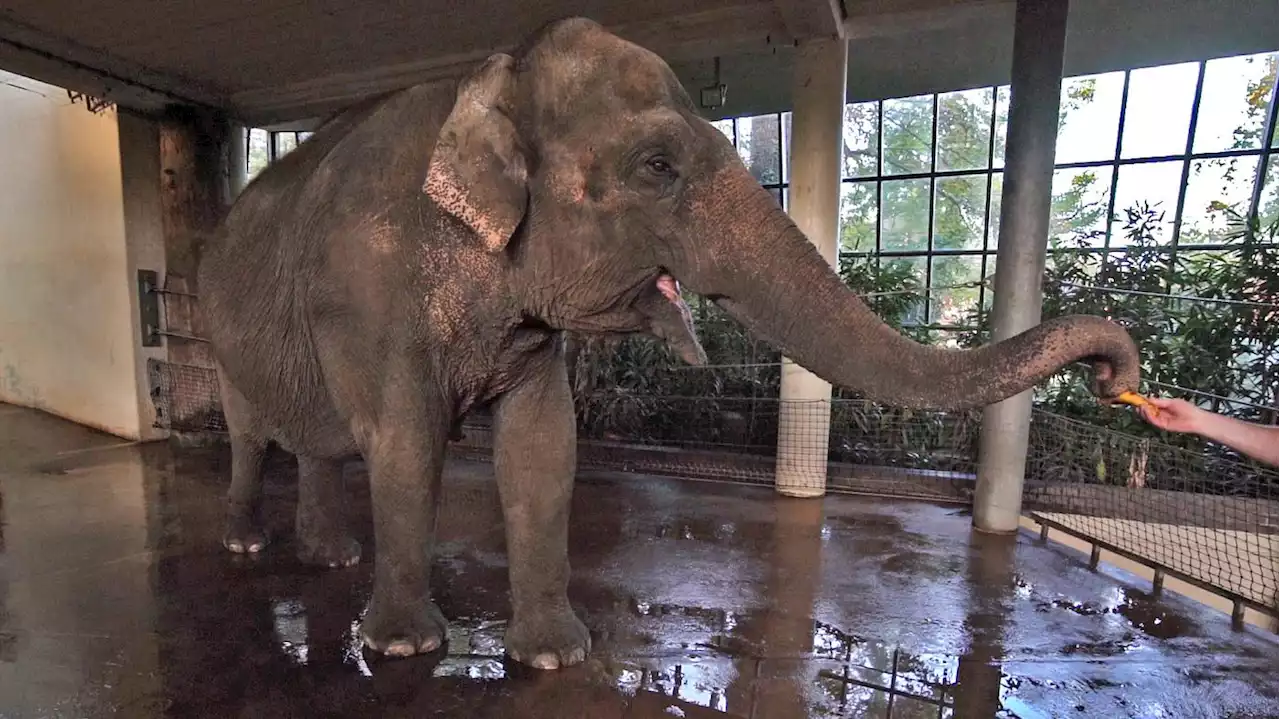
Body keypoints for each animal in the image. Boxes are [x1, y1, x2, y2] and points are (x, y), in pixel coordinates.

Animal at [197, 15, 1141, 665]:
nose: (1114, 374)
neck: (489, 79)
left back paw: (328, 557)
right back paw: (249, 545)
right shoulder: (370, 289)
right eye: (658, 166)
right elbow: (405, 442)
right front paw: (402, 647)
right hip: (221, 329)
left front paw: (555, 655)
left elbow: (543, 445)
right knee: (251, 430)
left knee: (318, 441)